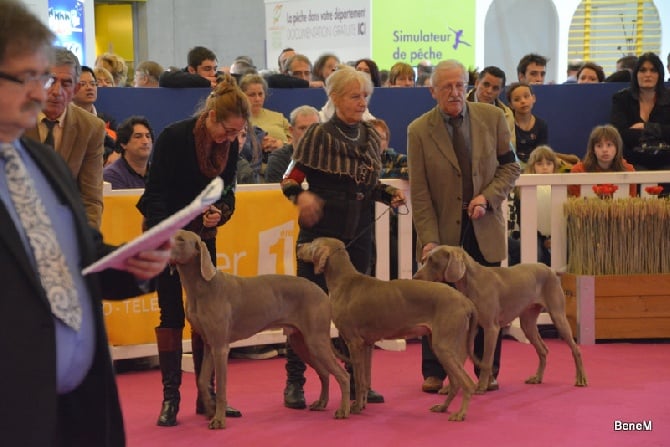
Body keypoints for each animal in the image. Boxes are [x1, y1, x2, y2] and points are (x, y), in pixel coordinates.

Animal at [169, 231, 352, 430]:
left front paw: (219, 419)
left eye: (180, 240)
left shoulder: (220, 348)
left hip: (316, 341)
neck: (200, 287)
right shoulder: (210, 344)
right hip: (301, 343)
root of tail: (322, 291)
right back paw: (321, 403)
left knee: (343, 375)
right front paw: (210, 411)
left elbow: (221, 388)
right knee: (324, 373)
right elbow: (202, 381)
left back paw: (344, 410)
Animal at [298, 238, 478, 420]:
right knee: (455, 383)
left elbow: (358, 378)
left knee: (467, 382)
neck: (344, 280)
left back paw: (460, 414)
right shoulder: (367, 345)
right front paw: (360, 405)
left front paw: (352, 408)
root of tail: (465, 301)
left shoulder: (354, 343)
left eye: (312, 243)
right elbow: (365, 379)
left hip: (443, 346)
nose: (298, 246)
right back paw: (443, 407)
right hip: (441, 346)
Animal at [414, 245, 588, 396]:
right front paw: (450, 388)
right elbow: (460, 360)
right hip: (527, 323)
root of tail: (549, 269)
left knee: (576, 349)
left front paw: (481, 386)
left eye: (433, 261)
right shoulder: (470, 330)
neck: (471, 282)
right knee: (543, 350)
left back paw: (581, 379)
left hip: (558, 316)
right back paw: (537, 377)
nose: (415, 278)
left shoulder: (491, 328)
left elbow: (486, 361)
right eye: (423, 260)